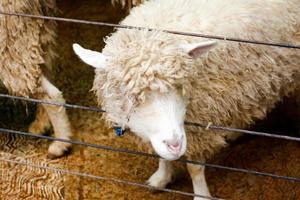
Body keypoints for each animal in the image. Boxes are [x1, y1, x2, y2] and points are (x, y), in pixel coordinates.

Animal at [72, 0, 300, 198]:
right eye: (133, 97)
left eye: (181, 86)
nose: (175, 144)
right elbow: (162, 155)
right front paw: (162, 177)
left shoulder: (200, 124)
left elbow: (195, 168)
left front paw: (201, 195)